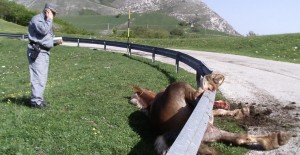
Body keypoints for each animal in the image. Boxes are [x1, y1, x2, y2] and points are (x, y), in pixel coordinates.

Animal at [129, 73, 290, 154]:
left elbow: (218, 110)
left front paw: (238, 111)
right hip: (184, 90)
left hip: (212, 131)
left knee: (239, 137)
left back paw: (277, 139)